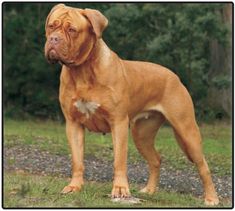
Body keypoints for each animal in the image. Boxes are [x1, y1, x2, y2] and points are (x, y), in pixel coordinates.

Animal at [45, 4, 219, 206]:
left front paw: (120, 190)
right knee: (156, 159)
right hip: (142, 134)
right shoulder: (73, 124)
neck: (82, 71)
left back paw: (211, 198)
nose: (53, 39)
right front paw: (74, 187)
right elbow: (77, 160)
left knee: (203, 165)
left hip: (187, 131)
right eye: (51, 26)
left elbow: (119, 160)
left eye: (72, 30)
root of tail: (175, 76)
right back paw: (149, 190)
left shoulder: (118, 123)